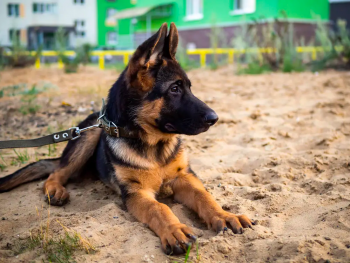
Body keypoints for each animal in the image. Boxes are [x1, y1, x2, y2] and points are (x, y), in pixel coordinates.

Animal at [0, 23, 252, 256]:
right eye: (174, 89)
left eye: (189, 87)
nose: (214, 118)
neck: (153, 145)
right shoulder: (135, 193)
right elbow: (158, 208)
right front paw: (174, 230)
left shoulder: (184, 177)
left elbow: (204, 196)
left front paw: (224, 215)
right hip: (88, 135)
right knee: (56, 172)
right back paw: (55, 190)